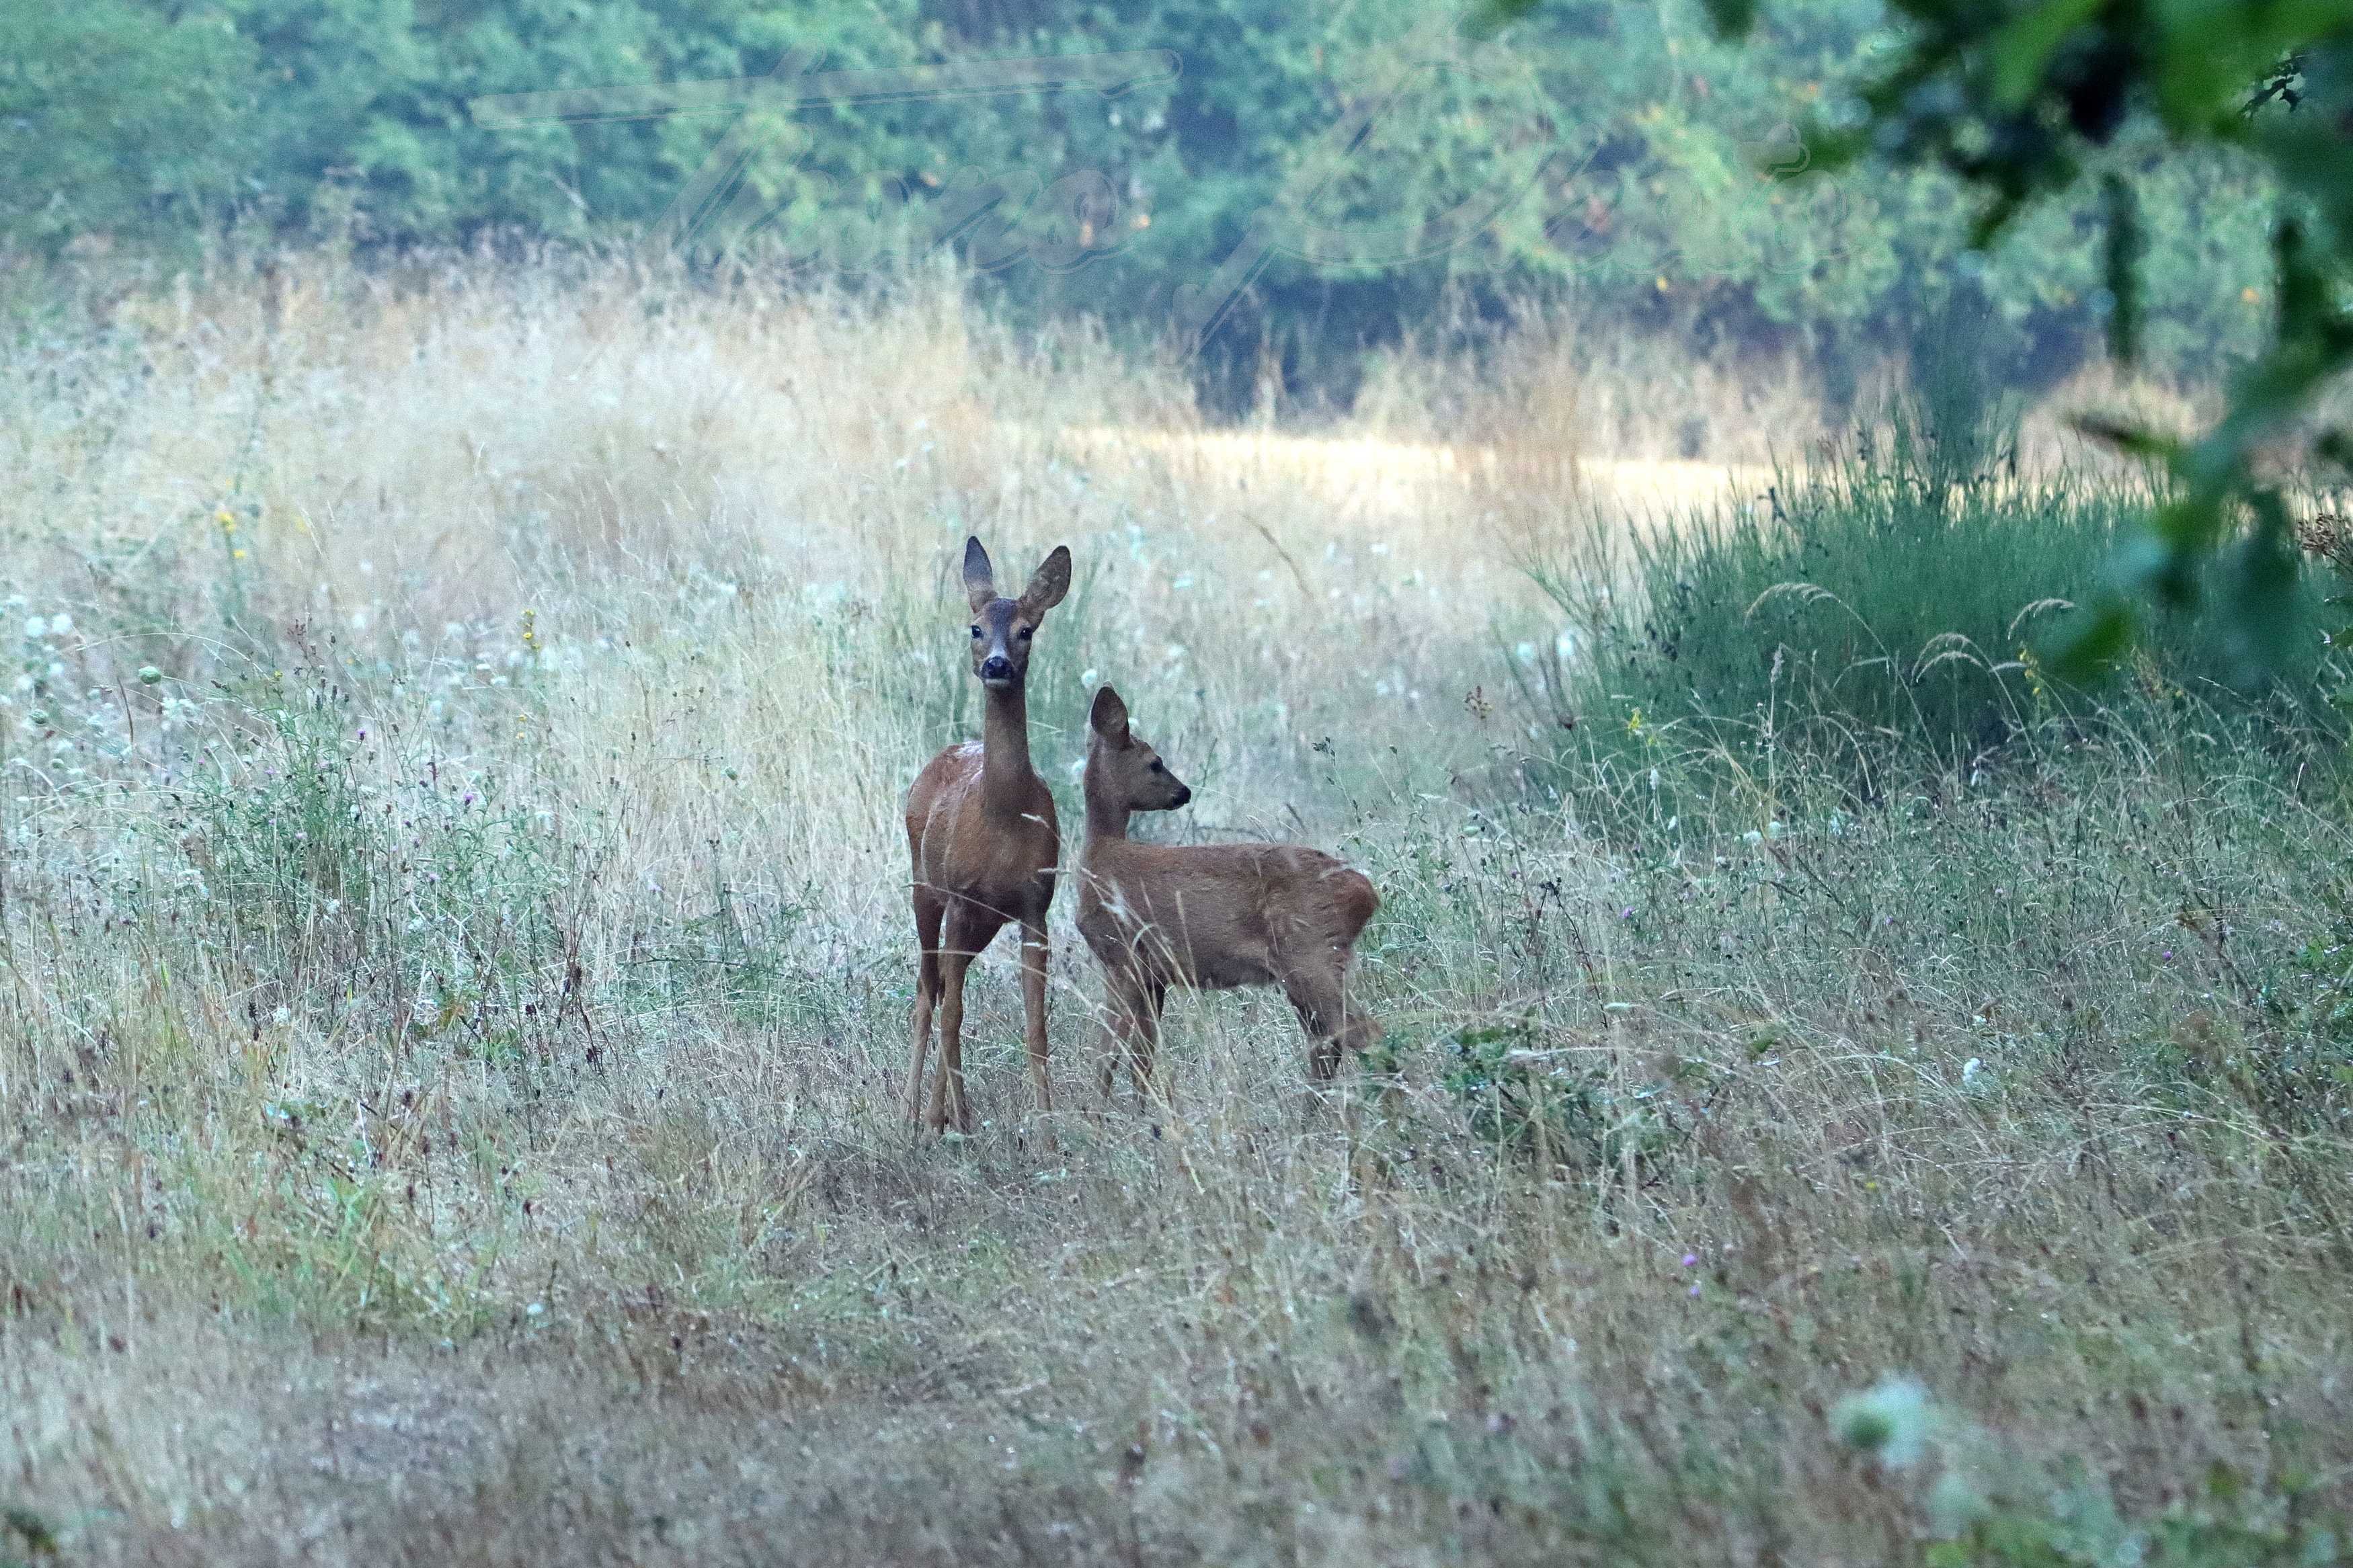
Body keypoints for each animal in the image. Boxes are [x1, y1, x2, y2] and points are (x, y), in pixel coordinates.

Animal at [904, 533, 1078, 1132]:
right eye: (975, 627)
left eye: (1028, 629)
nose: (998, 664)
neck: (1001, 816)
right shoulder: (959, 897)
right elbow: (954, 1011)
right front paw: (936, 1122)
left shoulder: (1034, 906)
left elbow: (1037, 1026)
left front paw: (1049, 1131)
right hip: (925, 887)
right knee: (929, 990)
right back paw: (915, 1116)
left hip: (983, 919)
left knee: (943, 983)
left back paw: (955, 1115)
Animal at [1078, 686, 1384, 1104]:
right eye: (1156, 763)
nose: (1184, 792)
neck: (1101, 856)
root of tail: (1366, 893)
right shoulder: (1153, 976)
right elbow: (1141, 1059)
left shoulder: (1122, 958)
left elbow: (1106, 1056)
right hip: (1307, 967)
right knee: (1328, 1045)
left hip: (1311, 955)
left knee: (1364, 1035)